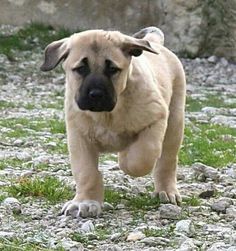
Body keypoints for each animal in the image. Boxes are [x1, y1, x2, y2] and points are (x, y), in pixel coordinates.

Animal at [41, 26, 186, 217]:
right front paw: (85, 202)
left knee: (167, 161)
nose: (96, 94)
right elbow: (86, 172)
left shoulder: (156, 119)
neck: (107, 114)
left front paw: (125, 158)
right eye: (80, 69)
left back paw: (166, 191)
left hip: (174, 123)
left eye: (112, 69)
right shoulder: (78, 136)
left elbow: (141, 157)